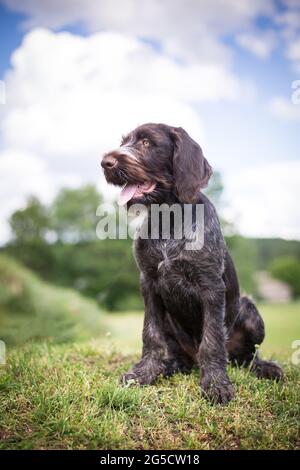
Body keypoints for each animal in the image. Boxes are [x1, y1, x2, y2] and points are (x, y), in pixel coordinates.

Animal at [101, 124, 284, 404]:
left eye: (146, 142)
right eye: (124, 142)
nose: (105, 163)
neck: (168, 219)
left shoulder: (211, 287)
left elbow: (212, 340)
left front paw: (216, 384)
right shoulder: (149, 285)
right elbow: (150, 335)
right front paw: (144, 373)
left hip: (250, 311)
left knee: (245, 358)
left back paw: (265, 368)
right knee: (181, 358)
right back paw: (168, 366)